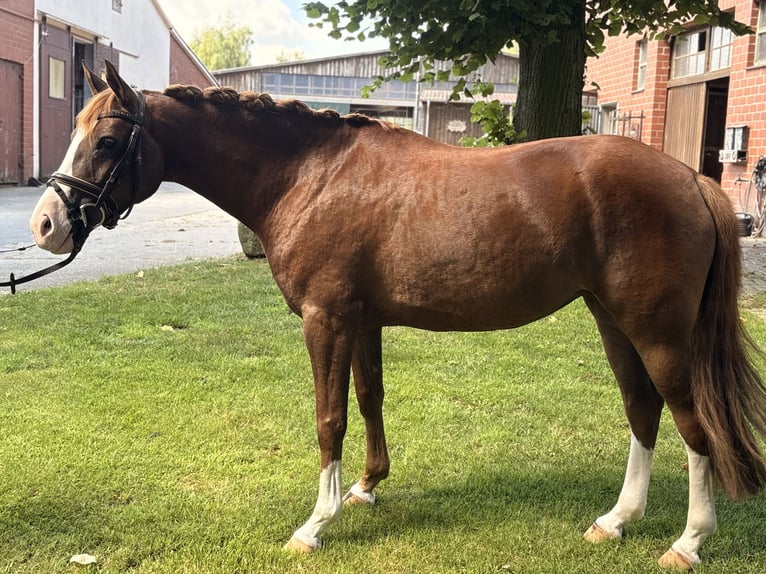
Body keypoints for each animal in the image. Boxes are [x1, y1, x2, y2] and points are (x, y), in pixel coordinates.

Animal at [27, 61, 766, 570]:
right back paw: (616, 520)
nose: (45, 224)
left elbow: (329, 417)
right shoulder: (362, 320)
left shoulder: (325, 319)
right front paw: (365, 489)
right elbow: (369, 397)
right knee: (643, 411)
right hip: (613, 321)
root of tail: (690, 179)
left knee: (692, 422)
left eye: (105, 142)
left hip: (657, 332)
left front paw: (315, 524)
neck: (309, 177)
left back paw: (688, 541)